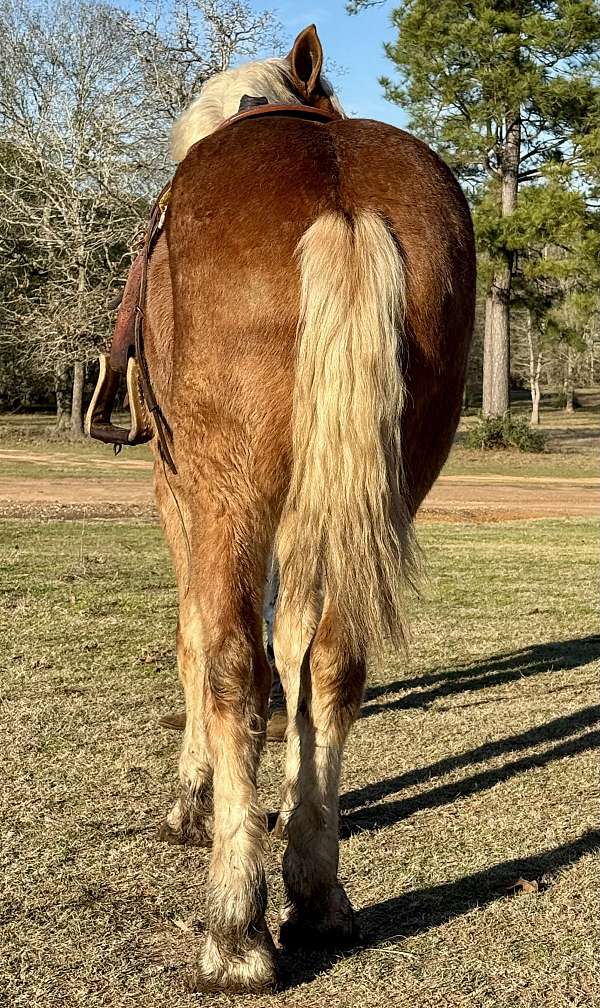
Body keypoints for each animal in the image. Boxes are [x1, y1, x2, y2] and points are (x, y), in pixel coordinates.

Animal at [141, 21, 473, 991]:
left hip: (227, 491)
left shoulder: (179, 491)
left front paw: (196, 798)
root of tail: (343, 201)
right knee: (332, 664)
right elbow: (296, 649)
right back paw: (318, 894)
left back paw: (235, 929)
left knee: (229, 661)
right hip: (385, 489)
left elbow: (199, 641)